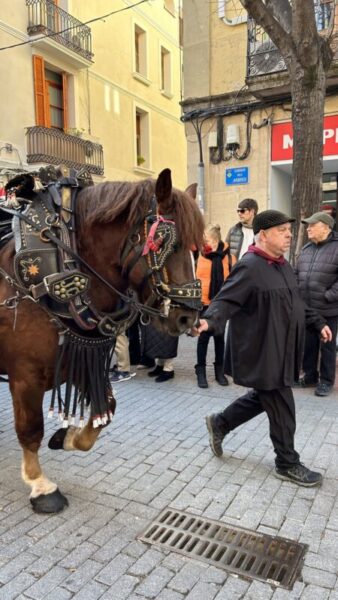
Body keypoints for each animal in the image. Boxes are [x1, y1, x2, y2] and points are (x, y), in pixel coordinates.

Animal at [0, 168, 203, 510]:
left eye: (197, 247)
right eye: (166, 242)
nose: (189, 317)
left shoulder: (78, 360)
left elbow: (106, 410)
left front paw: (68, 437)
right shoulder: (24, 374)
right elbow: (30, 429)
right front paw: (39, 484)